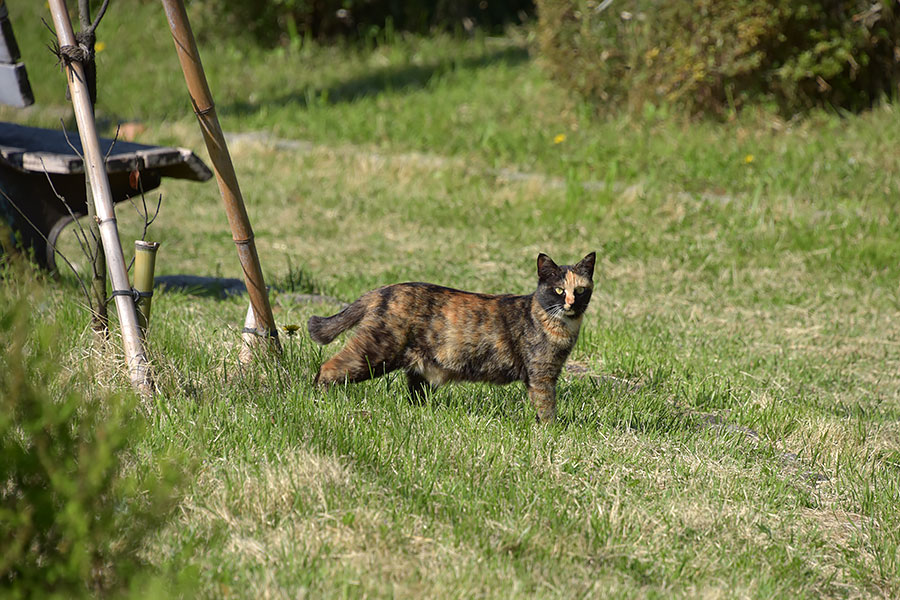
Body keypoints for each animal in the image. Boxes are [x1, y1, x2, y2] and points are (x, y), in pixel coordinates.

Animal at [310, 252, 596, 422]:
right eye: (558, 290)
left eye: (580, 290)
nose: (571, 303)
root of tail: (382, 290)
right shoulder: (542, 375)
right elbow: (547, 408)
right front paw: (551, 430)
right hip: (375, 352)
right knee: (328, 368)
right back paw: (319, 399)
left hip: (418, 372)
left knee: (414, 397)